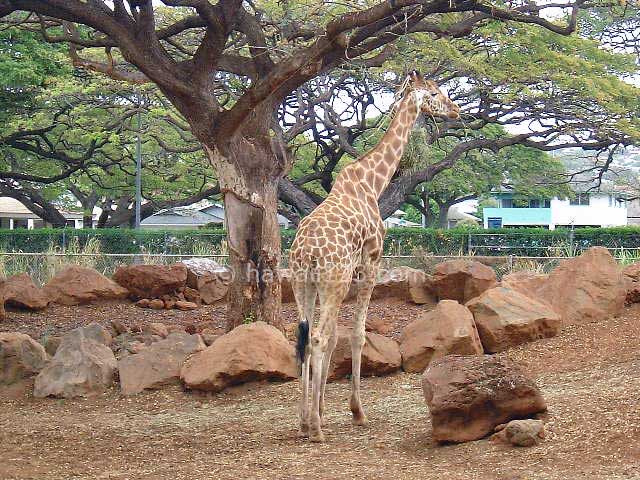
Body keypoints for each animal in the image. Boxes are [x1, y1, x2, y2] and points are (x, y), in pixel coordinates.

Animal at [288, 71, 458, 442]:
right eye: (436, 92)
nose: (455, 110)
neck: (371, 183)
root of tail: (306, 251)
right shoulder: (370, 263)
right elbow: (356, 334)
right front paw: (356, 412)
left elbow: (336, 338)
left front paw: (322, 410)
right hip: (333, 281)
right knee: (318, 337)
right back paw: (317, 430)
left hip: (303, 284)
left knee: (306, 338)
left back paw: (305, 422)